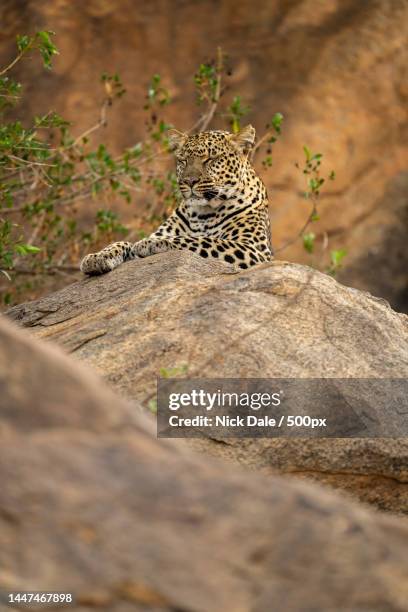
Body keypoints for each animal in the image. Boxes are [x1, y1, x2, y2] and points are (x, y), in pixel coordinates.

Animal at [78, 122, 272, 274]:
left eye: (210, 159)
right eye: (183, 160)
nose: (189, 181)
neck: (203, 214)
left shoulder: (255, 249)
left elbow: (200, 240)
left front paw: (149, 243)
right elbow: (123, 242)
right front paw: (97, 256)